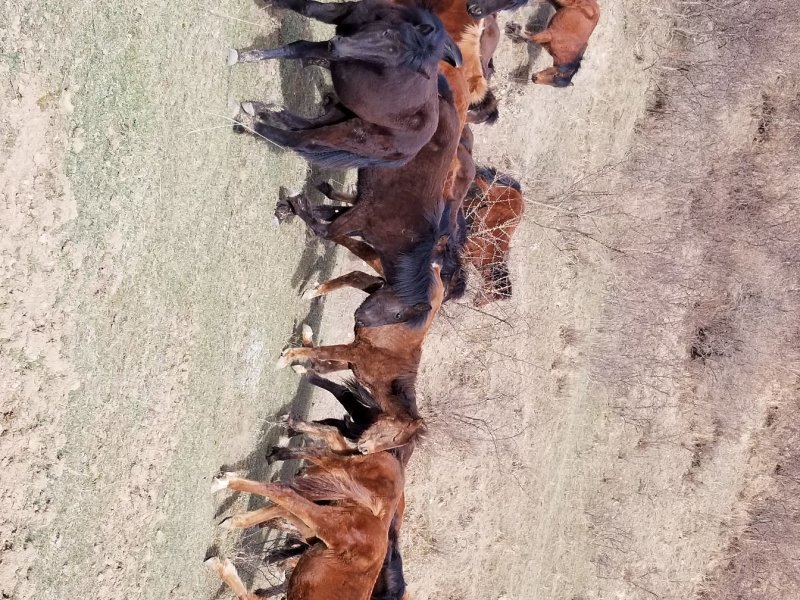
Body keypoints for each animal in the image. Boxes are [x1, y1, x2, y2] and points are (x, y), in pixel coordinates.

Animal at [207, 425, 405, 600]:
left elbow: (248, 596)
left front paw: (223, 566)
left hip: (322, 523)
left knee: (286, 501)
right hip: (329, 509)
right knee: (289, 488)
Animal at [229, 0, 462, 168]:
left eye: (388, 62)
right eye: (387, 33)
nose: (337, 47)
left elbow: (298, 48)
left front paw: (246, 56)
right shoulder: (345, 11)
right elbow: (304, 6)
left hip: (350, 133)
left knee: (302, 140)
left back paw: (251, 124)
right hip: (342, 112)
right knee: (306, 124)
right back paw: (263, 110)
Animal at [463, 166, 525, 306]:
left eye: (491, 300)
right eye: (491, 295)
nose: (477, 304)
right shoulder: (470, 246)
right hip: (493, 194)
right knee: (483, 183)